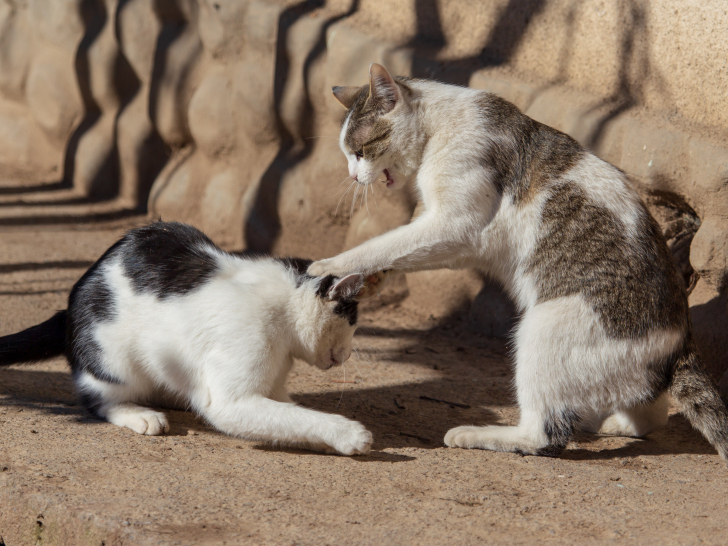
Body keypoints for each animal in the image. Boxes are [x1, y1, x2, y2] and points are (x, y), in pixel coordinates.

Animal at [0, 221, 372, 454]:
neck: (284, 312)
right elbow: (295, 418)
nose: (348, 354)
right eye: (353, 321)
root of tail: (70, 306)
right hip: (115, 360)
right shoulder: (233, 393)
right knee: (99, 400)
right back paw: (140, 413)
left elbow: (291, 419)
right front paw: (349, 434)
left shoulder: (274, 386)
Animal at [308, 63, 728, 456]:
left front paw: (329, 265)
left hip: (543, 328)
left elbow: (383, 245)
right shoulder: (433, 225)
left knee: (547, 435)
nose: (353, 176)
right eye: (349, 156)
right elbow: (397, 247)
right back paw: (605, 423)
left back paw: (480, 435)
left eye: (360, 151)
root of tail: (680, 340)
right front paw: (368, 281)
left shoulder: (456, 225)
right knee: (651, 414)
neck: (439, 126)